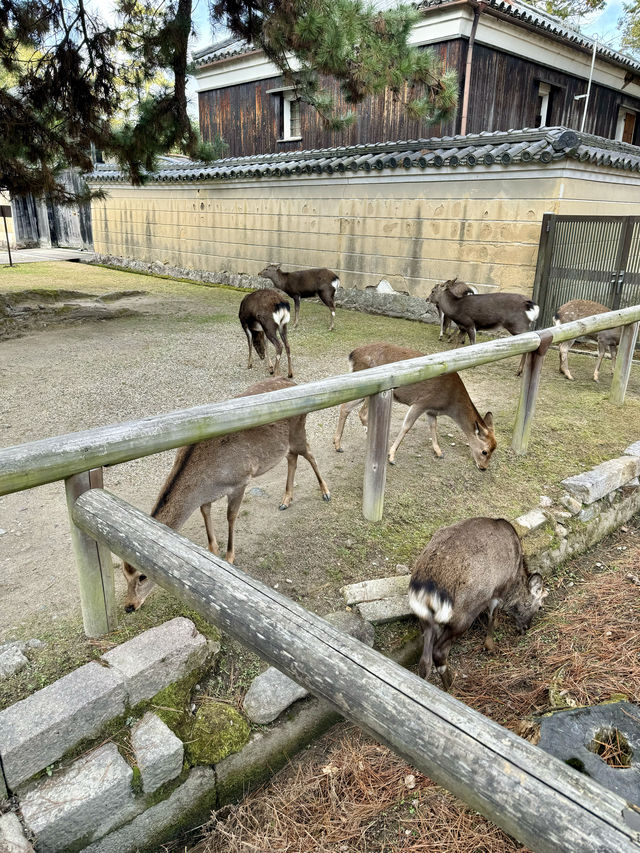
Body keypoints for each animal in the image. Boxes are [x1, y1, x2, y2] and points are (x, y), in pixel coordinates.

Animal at [122, 377, 331, 611]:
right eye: (124, 574)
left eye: (142, 576)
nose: (129, 606)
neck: (207, 481)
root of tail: (291, 380)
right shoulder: (208, 497)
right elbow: (206, 516)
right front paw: (213, 553)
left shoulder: (240, 480)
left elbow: (231, 516)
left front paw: (230, 558)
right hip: (286, 443)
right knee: (292, 458)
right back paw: (286, 499)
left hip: (298, 430)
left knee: (309, 454)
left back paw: (325, 491)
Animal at [332, 343, 496, 470]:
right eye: (485, 451)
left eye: (495, 449)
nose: (483, 468)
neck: (448, 403)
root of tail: (352, 355)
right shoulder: (421, 402)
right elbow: (407, 426)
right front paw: (391, 457)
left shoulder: (431, 410)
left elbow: (433, 427)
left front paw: (439, 452)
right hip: (371, 390)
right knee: (362, 413)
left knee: (345, 407)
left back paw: (338, 445)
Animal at [408, 517, 547, 690]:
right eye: (539, 606)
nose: (526, 628)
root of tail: (427, 588)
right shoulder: (497, 590)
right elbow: (492, 615)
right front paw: (490, 646)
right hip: (462, 615)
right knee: (439, 652)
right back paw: (452, 687)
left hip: (424, 618)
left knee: (425, 662)